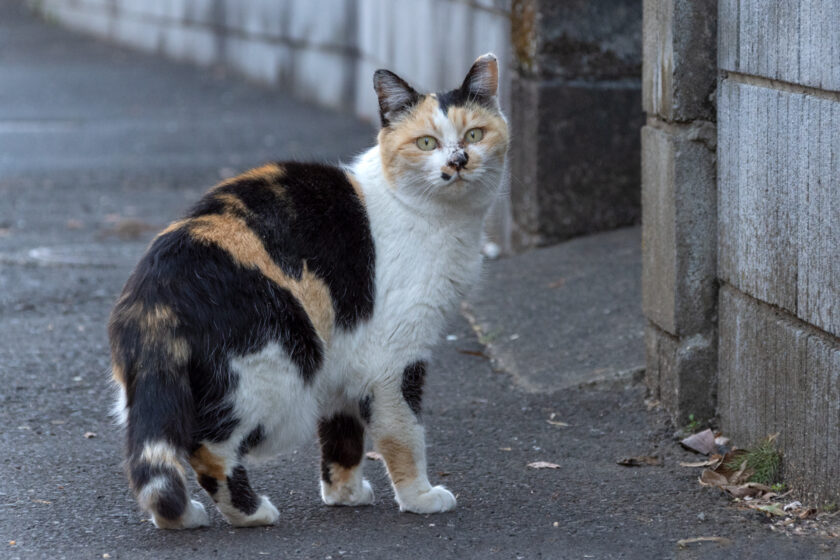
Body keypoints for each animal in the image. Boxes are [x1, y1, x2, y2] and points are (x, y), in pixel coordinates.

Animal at [108, 52, 508, 528]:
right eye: (426, 143)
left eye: (474, 134)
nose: (460, 159)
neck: (438, 219)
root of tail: (154, 286)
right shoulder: (394, 356)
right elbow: (404, 431)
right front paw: (419, 496)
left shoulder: (347, 349)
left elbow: (342, 432)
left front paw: (344, 494)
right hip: (274, 365)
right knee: (207, 445)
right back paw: (250, 512)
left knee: (158, 451)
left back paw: (181, 516)